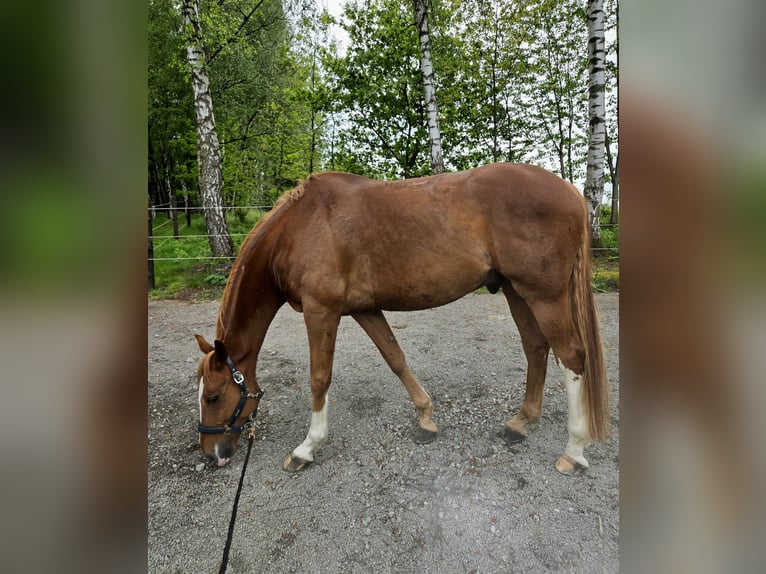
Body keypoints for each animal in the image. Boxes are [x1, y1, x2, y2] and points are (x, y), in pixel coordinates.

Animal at [194, 162, 609, 476]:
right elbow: (395, 357)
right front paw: (425, 418)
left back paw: (574, 451)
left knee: (572, 356)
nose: (211, 453)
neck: (300, 228)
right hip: (515, 290)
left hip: (544, 296)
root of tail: (571, 192)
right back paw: (521, 422)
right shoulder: (363, 309)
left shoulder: (321, 310)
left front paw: (307, 447)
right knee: (536, 348)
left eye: (213, 396)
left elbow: (319, 378)